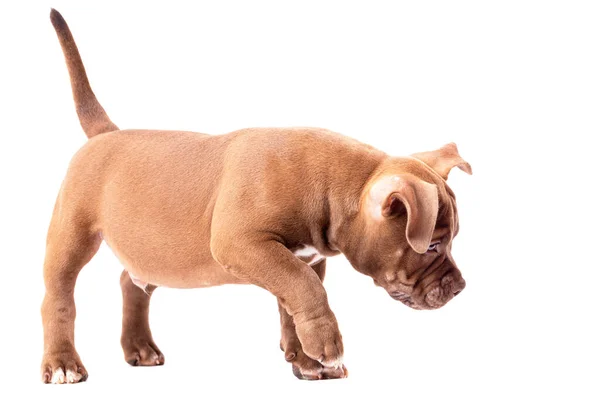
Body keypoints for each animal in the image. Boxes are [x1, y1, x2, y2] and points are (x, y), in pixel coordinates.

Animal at [42, 9, 474, 384]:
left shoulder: (303, 258)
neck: (335, 185)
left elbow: (292, 303)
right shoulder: (244, 244)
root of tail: (106, 134)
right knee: (59, 297)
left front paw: (307, 360)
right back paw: (63, 364)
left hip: (151, 251)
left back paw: (140, 348)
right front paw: (326, 346)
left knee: (131, 281)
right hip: (71, 236)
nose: (460, 286)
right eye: (431, 246)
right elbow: (305, 288)